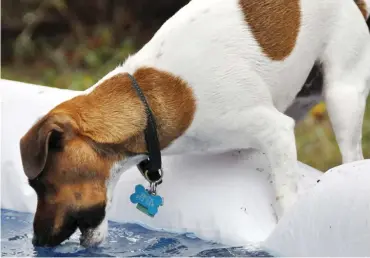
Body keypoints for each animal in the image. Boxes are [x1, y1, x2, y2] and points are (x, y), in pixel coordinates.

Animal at [18, 0, 368, 248]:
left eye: (42, 184)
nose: (37, 241)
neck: (148, 101)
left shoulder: (275, 130)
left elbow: (286, 198)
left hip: (342, 96)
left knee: (350, 152)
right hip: (301, 98)